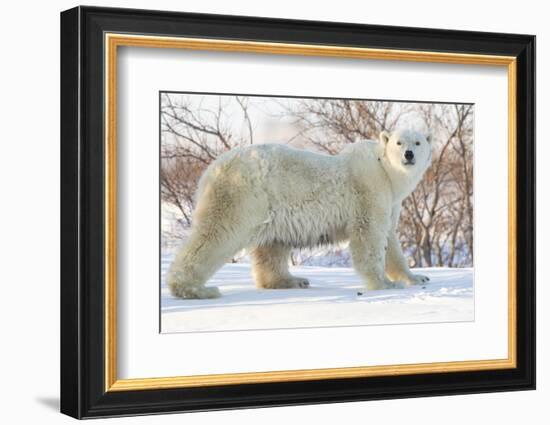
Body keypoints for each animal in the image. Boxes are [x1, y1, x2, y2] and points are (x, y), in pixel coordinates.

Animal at [166, 129, 434, 298]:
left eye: (418, 142)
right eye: (399, 142)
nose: (409, 155)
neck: (385, 170)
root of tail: (211, 170)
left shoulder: (390, 201)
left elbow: (390, 238)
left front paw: (417, 278)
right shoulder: (369, 190)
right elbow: (370, 235)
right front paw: (385, 284)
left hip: (269, 205)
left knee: (271, 246)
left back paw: (292, 280)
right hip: (241, 194)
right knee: (216, 233)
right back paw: (195, 289)